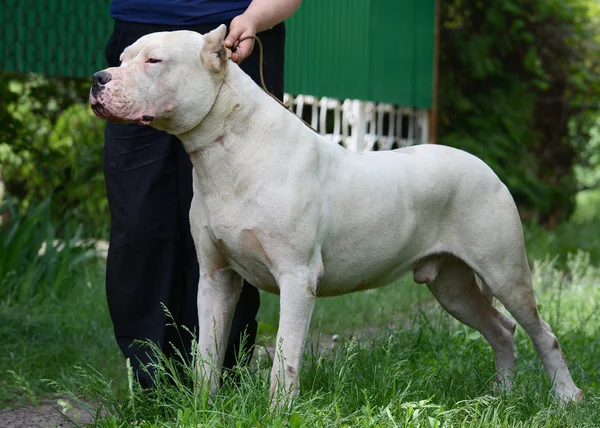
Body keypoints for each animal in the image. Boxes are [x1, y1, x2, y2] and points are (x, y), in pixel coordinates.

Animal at [91, 24, 584, 404]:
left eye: (154, 61)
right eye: (121, 57)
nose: (98, 78)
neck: (229, 148)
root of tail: (484, 165)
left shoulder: (297, 277)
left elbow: (285, 359)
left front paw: (278, 412)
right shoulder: (216, 278)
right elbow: (206, 358)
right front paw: (201, 408)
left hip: (505, 272)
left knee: (543, 333)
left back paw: (566, 397)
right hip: (452, 286)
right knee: (502, 329)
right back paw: (501, 394)